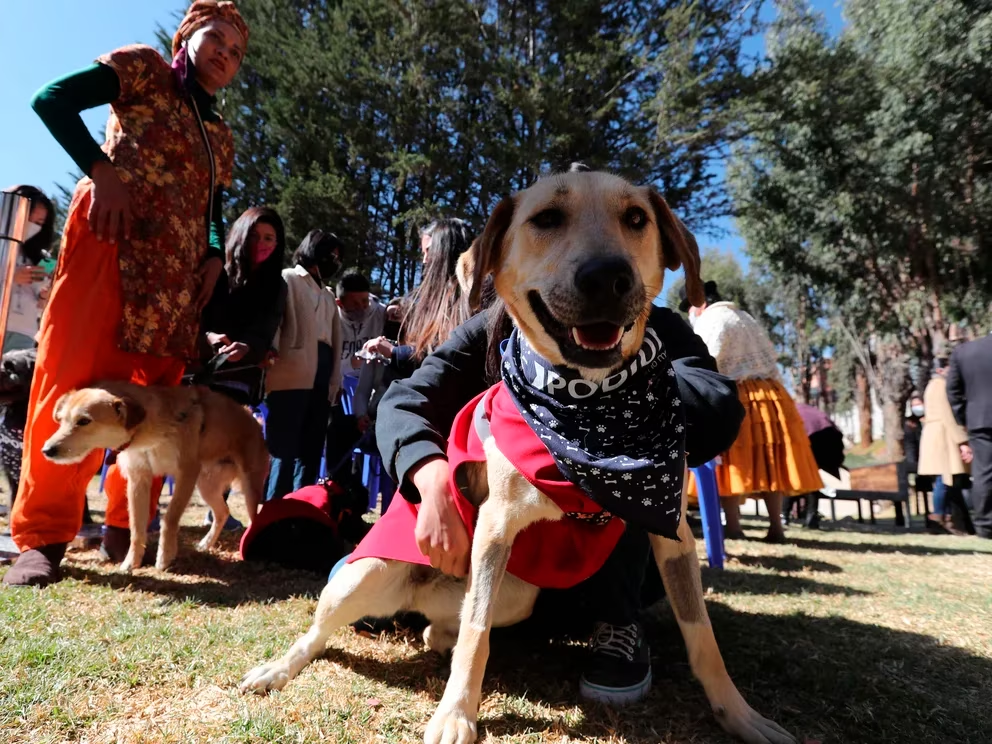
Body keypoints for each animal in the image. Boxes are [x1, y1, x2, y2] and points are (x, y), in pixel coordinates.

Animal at [43, 380, 268, 572]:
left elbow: (169, 518)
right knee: (222, 512)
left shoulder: (186, 473)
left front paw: (165, 557)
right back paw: (206, 543)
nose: (46, 450)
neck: (151, 431)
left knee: (254, 516)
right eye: (61, 420)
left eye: (84, 421)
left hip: (249, 487)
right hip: (207, 486)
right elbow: (136, 527)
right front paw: (131, 563)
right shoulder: (138, 478)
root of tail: (251, 416)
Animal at [240, 171, 800, 744]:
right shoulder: (495, 525)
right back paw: (278, 669)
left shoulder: (672, 534)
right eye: (546, 218)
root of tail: (419, 593)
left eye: (636, 218)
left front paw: (740, 715)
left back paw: (434, 633)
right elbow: (477, 632)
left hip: (519, 594)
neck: (589, 407)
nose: (609, 277)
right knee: (323, 630)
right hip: (365, 573)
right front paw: (455, 715)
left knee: (446, 623)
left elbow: (702, 635)